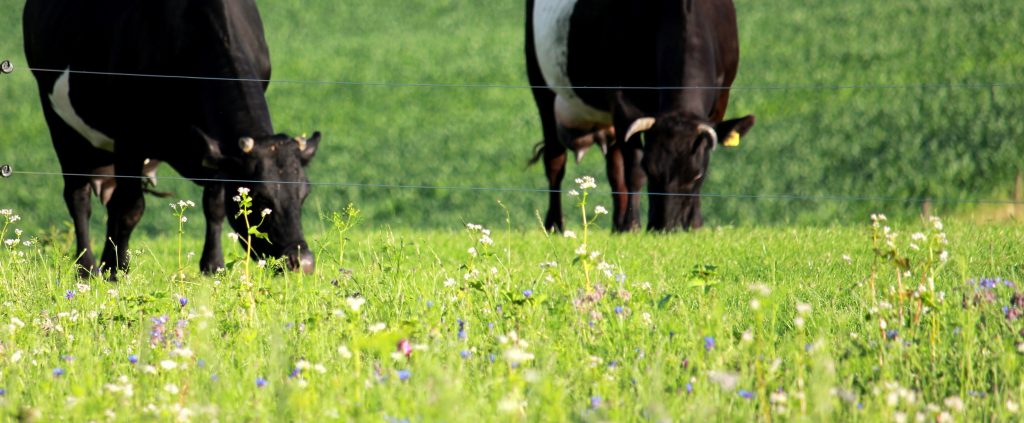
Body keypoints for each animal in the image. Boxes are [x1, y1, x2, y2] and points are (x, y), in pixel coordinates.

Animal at [24, 0, 319, 274]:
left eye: (304, 193)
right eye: (259, 197)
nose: (301, 261)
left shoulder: (213, 146)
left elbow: (214, 204)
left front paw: (214, 266)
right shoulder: (130, 137)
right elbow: (130, 208)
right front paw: (114, 270)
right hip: (58, 120)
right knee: (79, 197)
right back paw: (87, 267)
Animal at [528, 0, 753, 230]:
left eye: (696, 175)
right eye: (650, 169)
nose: (666, 227)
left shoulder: (721, 99)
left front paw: (695, 224)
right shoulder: (620, 98)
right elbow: (634, 169)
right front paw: (632, 225)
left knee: (614, 167)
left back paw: (617, 226)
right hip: (541, 86)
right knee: (555, 161)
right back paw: (555, 226)